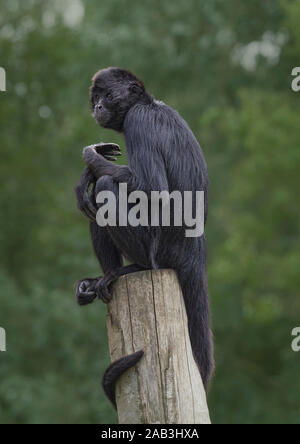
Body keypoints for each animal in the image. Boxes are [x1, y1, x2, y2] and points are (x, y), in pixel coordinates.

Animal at [75, 67, 214, 410]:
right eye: (95, 99)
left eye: (107, 96)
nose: (98, 107)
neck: (150, 105)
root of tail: (194, 249)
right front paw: (87, 171)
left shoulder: (138, 122)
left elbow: (153, 190)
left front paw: (90, 163)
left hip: (154, 248)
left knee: (106, 188)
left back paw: (125, 270)